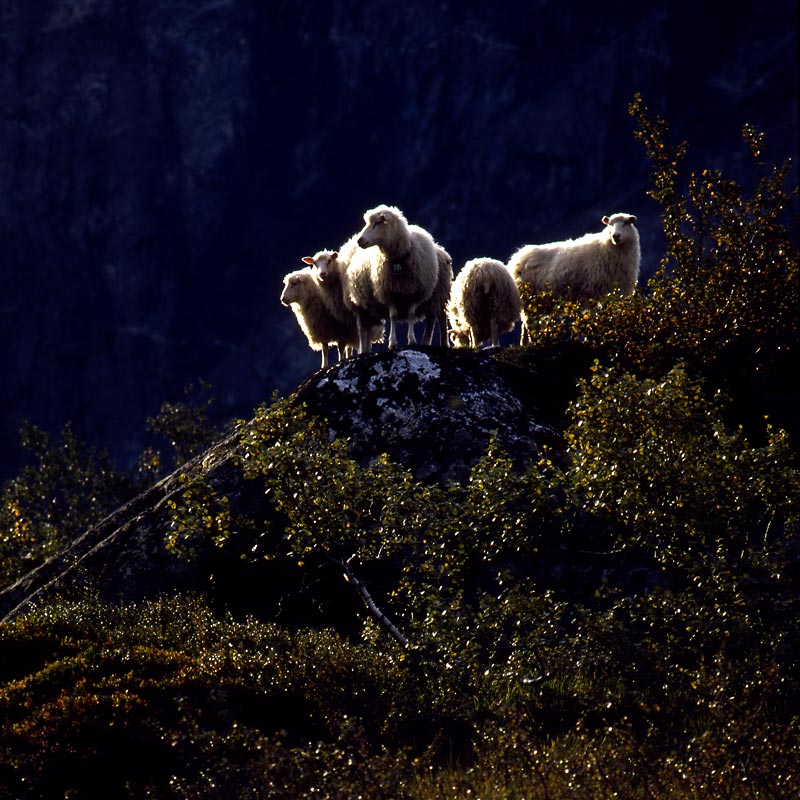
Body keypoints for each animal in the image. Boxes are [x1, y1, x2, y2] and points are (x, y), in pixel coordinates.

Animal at [354, 205, 440, 348]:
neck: (398, 259)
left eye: (378, 222)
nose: (359, 240)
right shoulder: (389, 292)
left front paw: (411, 340)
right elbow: (393, 316)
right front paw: (392, 343)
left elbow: (411, 314)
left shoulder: (414, 292)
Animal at [510, 212, 640, 344]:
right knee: (529, 324)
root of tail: (516, 258)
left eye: (626, 223)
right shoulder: (589, 292)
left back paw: (525, 343)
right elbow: (591, 318)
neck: (605, 249)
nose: (615, 236)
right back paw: (535, 342)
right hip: (530, 299)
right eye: (610, 224)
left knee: (525, 326)